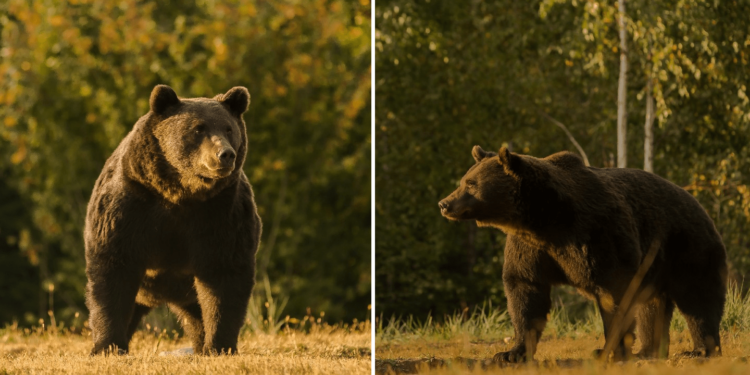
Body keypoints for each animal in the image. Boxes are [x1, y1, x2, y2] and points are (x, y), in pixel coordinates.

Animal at [83, 84, 262, 356]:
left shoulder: (221, 213)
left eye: (229, 129)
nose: (225, 155)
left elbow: (224, 275)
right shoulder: (130, 206)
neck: (180, 193)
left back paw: (200, 345)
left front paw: (219, 345)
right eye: (198, 128)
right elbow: (113, 269)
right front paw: (107, 346)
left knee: (197, 315)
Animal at [440, 146, 728, 362]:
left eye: (471, 184)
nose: (444, 203)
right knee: (652, 305)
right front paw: (511, 352)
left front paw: (608, 349)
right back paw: (648, 351)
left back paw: (700, 350)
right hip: (655, 264)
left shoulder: (597, 234)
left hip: (687, 247)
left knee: (698, 298)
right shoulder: (530, 248)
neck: (545, 220)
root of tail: (697, 202)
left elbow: (615, 293)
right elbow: (525, 290)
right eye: (464, 181)